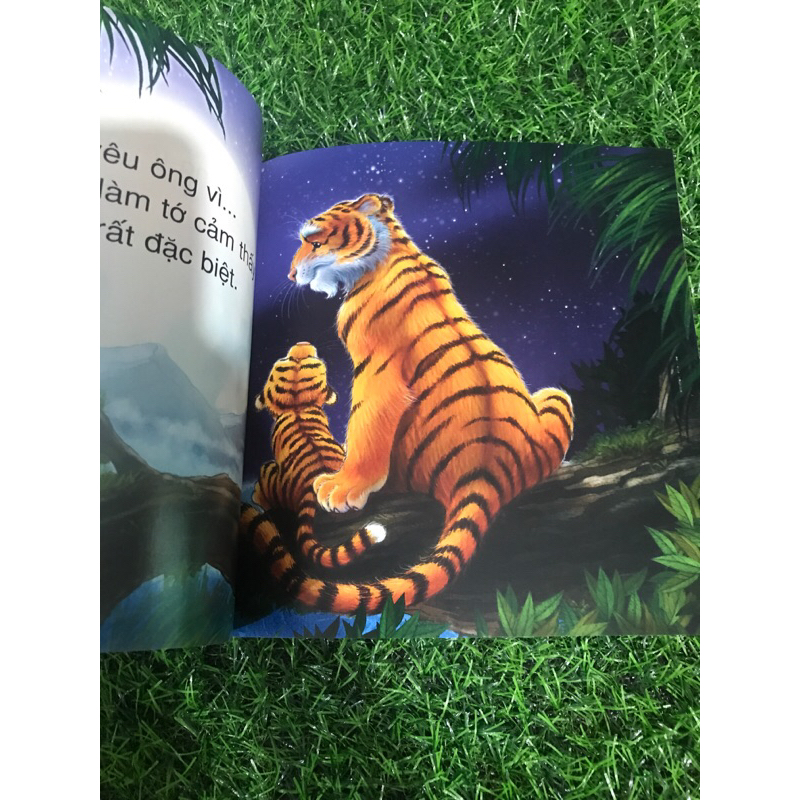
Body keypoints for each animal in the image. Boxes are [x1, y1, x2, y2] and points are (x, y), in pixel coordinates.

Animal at [262, 193, 574, 615]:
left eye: (314, 242)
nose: (292, 275)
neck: (390, 248)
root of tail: (488, 467)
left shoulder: (375, 370)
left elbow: (364, 425)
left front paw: (342, 487)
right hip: (554, 395)